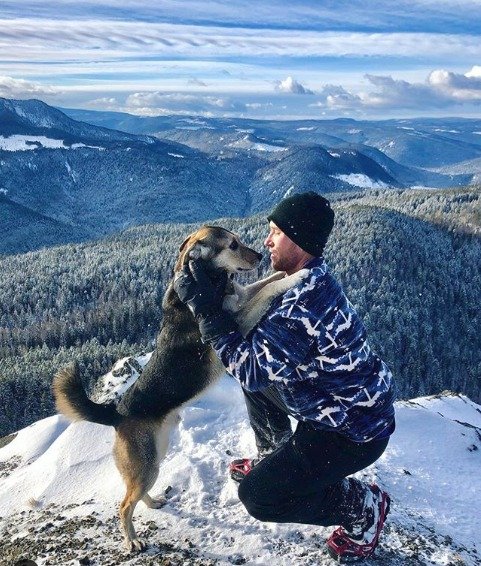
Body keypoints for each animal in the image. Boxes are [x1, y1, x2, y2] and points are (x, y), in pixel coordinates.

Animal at [52, 227, 308, 556]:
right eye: (233, 245)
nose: (261, 255)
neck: (206, 283)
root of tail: (117, 413)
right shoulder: (235, 322)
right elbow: (266, 290)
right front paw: (297, 276)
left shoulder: (241, 298)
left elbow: (264, 283)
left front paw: (286, 272)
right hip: (146, 464)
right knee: (124, 505)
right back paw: (132, 539)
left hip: (154, 458)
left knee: (135, 494)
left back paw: (152, 502)